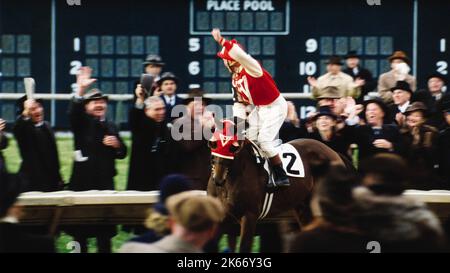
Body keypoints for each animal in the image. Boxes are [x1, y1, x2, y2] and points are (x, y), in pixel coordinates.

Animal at [207, 137, 348, 252]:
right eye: (214, 144)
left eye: (232, 147)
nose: (218, 179)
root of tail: (334, 152)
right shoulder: (221, 216)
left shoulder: (249, 215)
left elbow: (244, 247)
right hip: (303, 208)